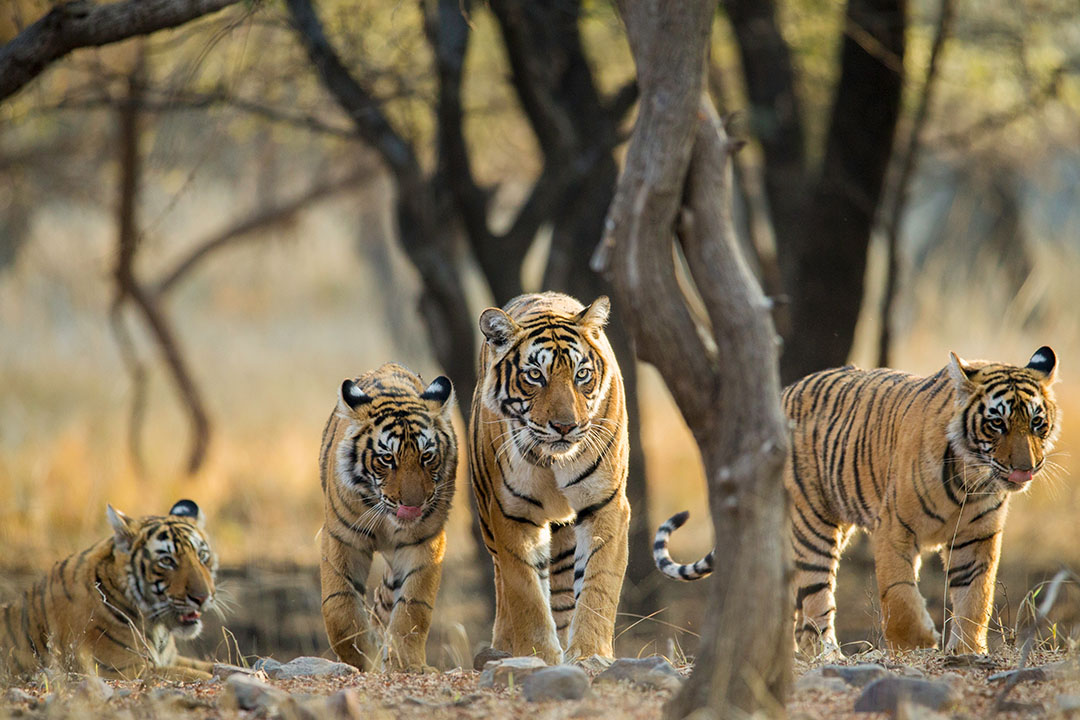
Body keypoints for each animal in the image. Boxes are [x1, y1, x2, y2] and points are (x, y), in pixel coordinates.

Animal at [0, 499, 218, 681]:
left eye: (202, 555)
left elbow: (212, 665)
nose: (203, 597)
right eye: (167, 561)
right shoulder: (124, 669)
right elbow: (192, 674)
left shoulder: (170, 659)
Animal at [318, 363, 457, 672]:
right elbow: (339, 608)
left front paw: (406, 664)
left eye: (427, 456)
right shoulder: (341, 538)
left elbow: (413, 607)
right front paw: (361, 657)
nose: (413, 506)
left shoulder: (425, 541)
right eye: (387, 459)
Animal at [469, 291, 630, 665]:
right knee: (504, 585)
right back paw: (502, 646)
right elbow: (526, 593)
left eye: (582, 374)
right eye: (534, 375)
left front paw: (590, 653)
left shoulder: (605, 504)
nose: (565, 426)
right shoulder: (512, 513)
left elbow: (598, 584)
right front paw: (537, 654)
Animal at [654, 347, 1060, 657]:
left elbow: (976, 597)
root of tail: (783, 393)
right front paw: (917, 643)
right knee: (816, 600)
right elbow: (898, 594)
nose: (1026, 468)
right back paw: (827, 655)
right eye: (997, 424)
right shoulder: (894, 528)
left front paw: (968, 651)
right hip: (813, 525)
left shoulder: (977, 538)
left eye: (1037, 423)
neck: (970, 480)